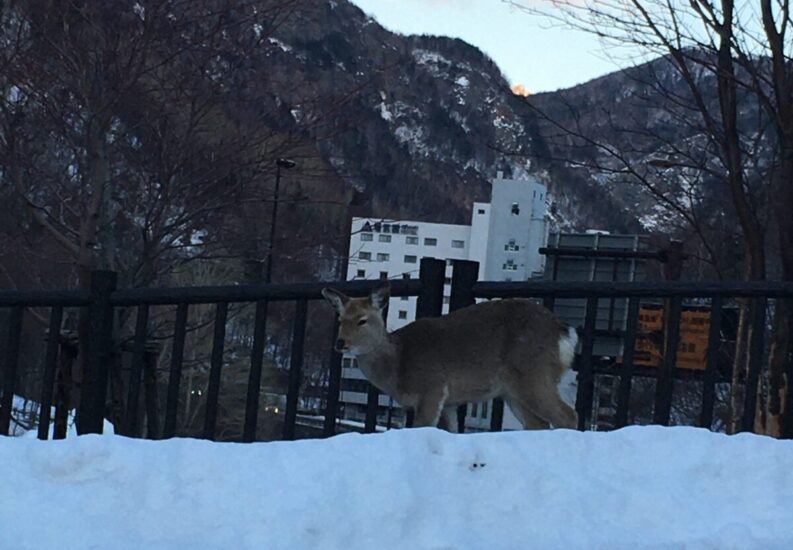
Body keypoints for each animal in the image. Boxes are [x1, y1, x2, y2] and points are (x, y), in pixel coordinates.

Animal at [321, 281, 579, 431]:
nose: (340, 343)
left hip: (534, 372)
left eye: (362, 320)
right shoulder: (451, 403)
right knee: (540, 423)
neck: (400, 364)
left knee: (567, 415)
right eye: (340, 319)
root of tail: (565, 332)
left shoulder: (432, 387)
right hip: (512, 390)